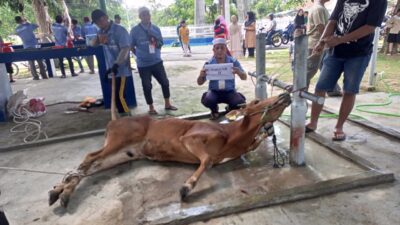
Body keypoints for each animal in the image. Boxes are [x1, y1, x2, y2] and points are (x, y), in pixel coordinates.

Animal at [48, 92, 290, 207]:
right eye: (256, 101)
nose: (284, 95)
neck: (232, 137)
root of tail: (114, 121)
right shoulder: (190, 138)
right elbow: (207, 160)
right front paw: (186, 187)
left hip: (124, 154)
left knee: (90, 167)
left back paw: (60, 192)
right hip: (119, 140)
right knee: (89, 157)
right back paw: (61, 191)